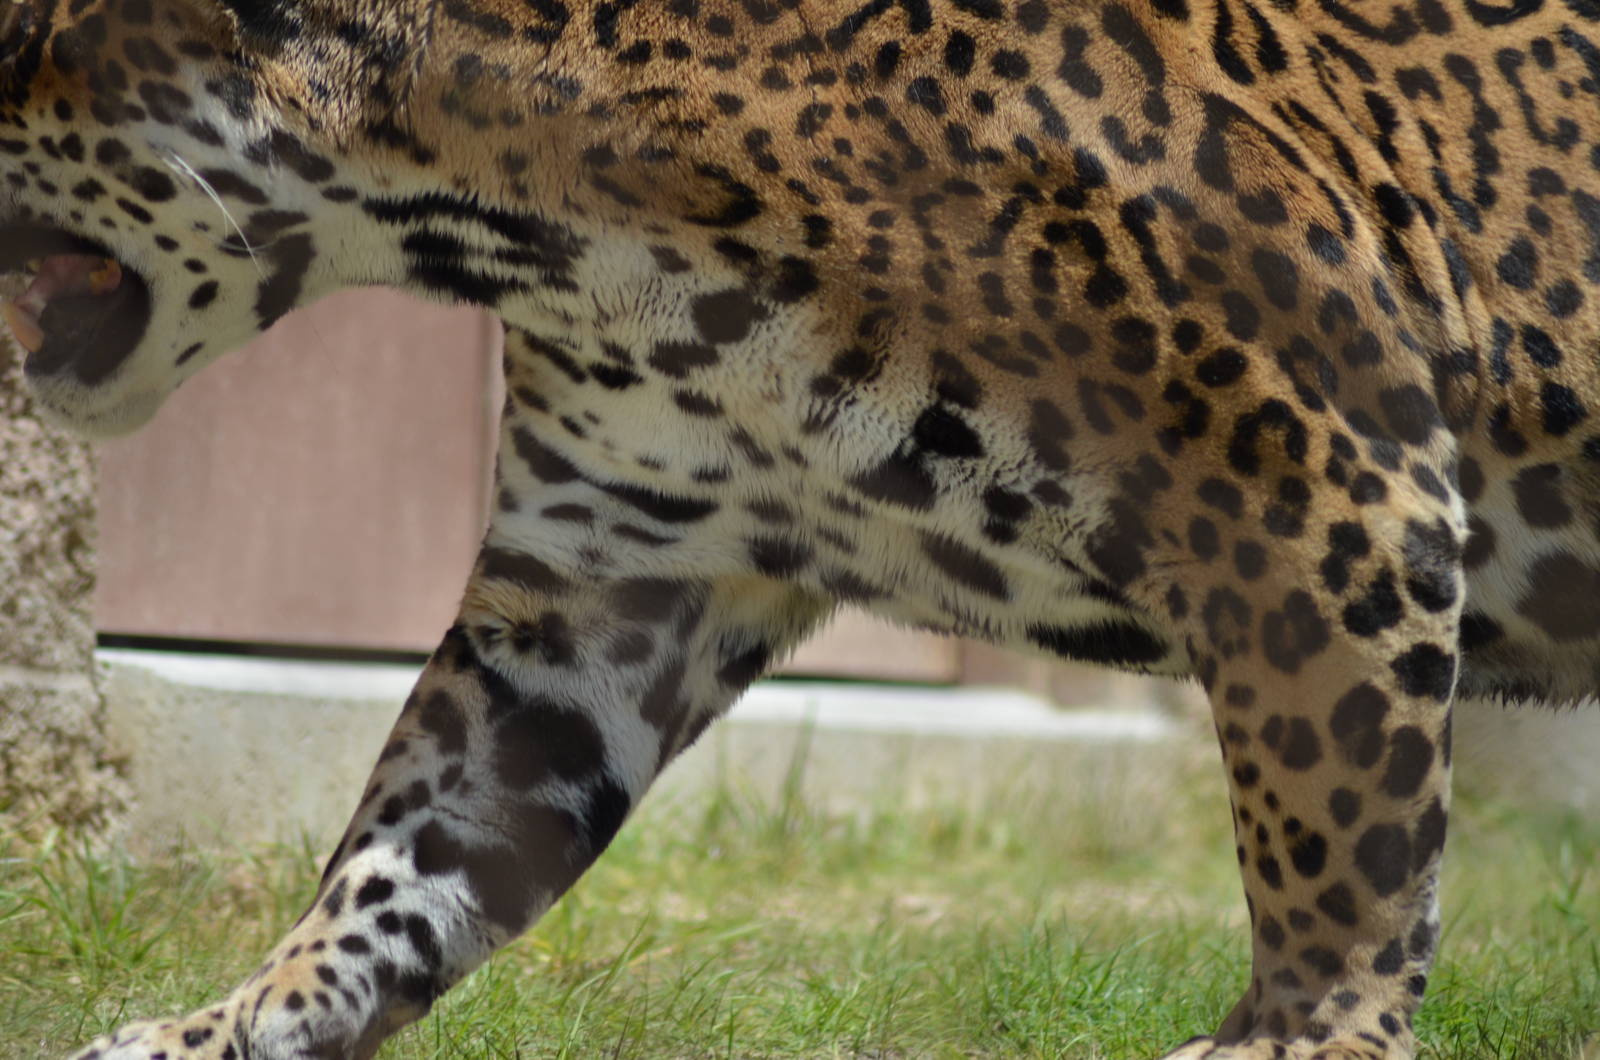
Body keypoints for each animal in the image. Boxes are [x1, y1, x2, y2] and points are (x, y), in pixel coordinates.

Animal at [2, 0, 1598, 1054]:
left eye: (18, 45)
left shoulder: (1323, 482)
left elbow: (1334, 831)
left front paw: (1301, 1034)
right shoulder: (598, 591)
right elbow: (400, 859)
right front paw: (225, 1024)